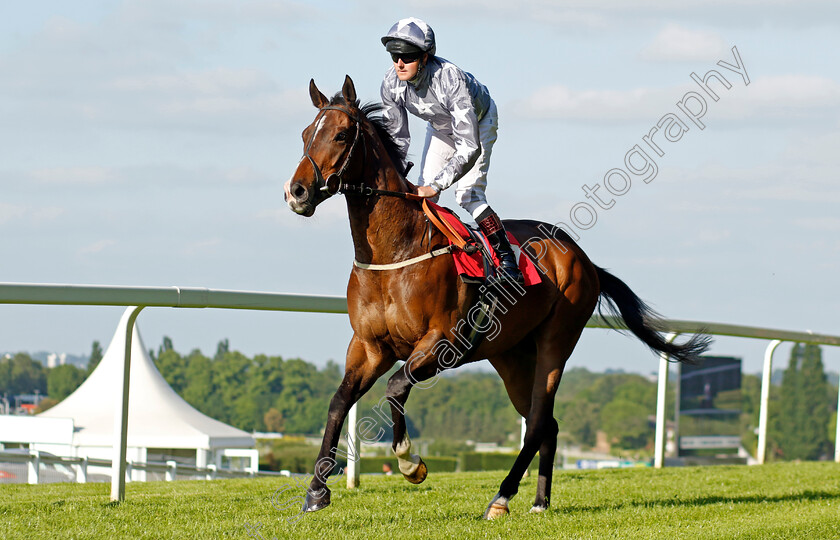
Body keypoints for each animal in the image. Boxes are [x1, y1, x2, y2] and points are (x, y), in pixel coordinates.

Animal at [284, 76, 708, 520]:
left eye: (340, 135)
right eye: (305, 134)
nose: (296, 191)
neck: (397, 253)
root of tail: (583, 259)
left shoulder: (443, 341)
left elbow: (397, 387)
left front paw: (410, 463)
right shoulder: (369, 347)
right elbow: (338, 401)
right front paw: (316, 492)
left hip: (557, 339)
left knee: (537, 421)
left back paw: (502, 498)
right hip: (511, 355)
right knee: (547, 423)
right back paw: (540, 501)